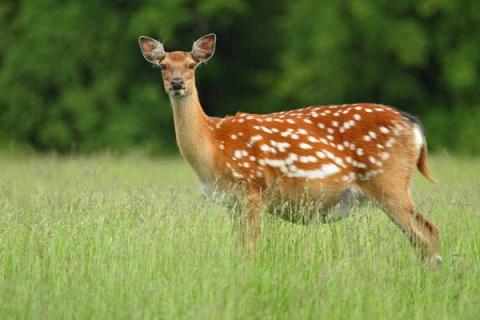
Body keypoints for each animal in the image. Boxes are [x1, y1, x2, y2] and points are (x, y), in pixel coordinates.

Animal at [137, 33, 440, 262]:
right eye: (163, 65)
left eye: (191, 65)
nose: (177, 83)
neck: (212, 146)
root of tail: (414, 126)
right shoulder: (231, 203)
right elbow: (238, 248)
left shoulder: (253, 189)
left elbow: (250, 249)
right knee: (422, 237)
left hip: (389, 182)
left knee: (428, 232)